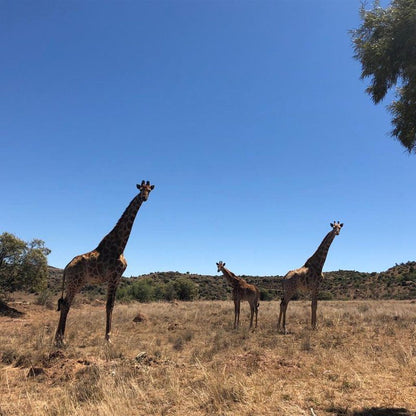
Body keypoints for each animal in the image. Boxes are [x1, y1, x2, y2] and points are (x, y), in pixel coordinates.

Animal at [53, 180, 154, 346]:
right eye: (141, 190)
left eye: (149, 191)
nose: (144, 198)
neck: (120, 246)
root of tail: (67, 267)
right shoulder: (113, 276)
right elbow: (109, 305)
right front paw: (108, 338)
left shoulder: (117, 278)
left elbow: (111, 305)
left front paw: (108, 336)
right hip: (74, 282)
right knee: (66, 304)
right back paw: (61, 339)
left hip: (76, 283)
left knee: (65, 304)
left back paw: (59, 338)